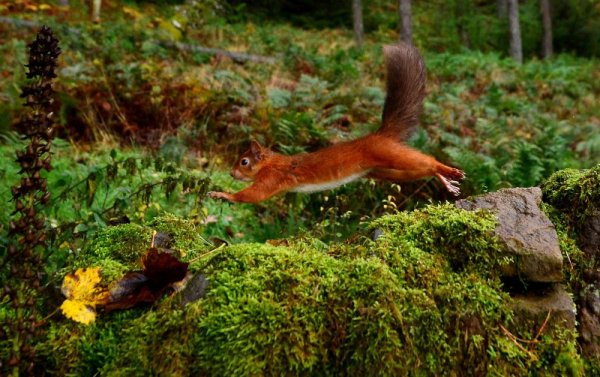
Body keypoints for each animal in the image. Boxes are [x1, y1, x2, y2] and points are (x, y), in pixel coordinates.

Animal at [209, 41, 466, 203]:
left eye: (244, 161)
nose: (231, 174)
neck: (273, 163)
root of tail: (380, 135)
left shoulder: (272, 178)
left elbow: (254, 196)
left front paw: (223, 195)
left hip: (389, 155)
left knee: (427, 161)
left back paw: (447, 170)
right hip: (386, 172)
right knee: (422, 170)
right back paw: (445, 180)